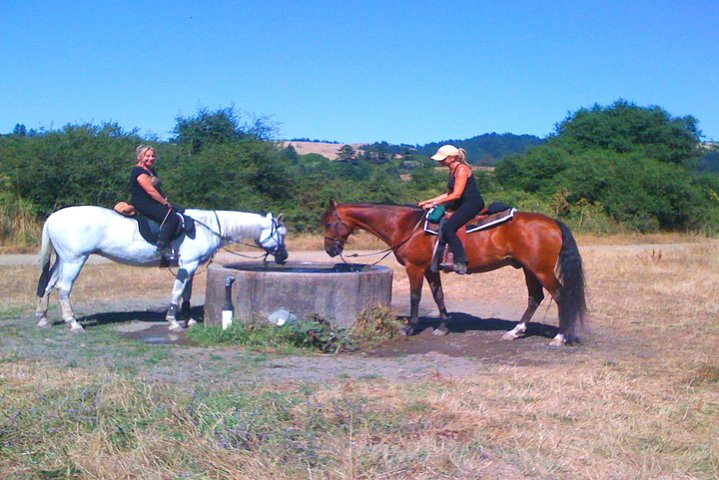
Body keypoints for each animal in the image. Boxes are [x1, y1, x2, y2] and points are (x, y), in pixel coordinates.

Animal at [33, 206, 286, 334]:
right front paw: (173, 321)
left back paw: (43, 318)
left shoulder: (189, 266)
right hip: (75, 260)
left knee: (49, 285)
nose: (284, 257)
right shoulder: (188, 265)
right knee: (63, 288)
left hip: (63, 259)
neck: (208, 226)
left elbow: (186, 293)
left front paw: (188, 319)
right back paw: (73, 323)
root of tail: (54, 217)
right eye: (281, 234)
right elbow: (177, 292)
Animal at [324, 201, 588, 346]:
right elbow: (438, 295)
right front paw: (443, 326)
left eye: (327, 223)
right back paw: (514, 332)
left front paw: (409, 327)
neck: (407, 226)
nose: (329, 249)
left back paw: (560, 337)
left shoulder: (415, 268)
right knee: (535, 297)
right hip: (528, 269)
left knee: (560, 296)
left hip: (541, 270)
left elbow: (415, 297)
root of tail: (553, 222)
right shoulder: (430, 270)